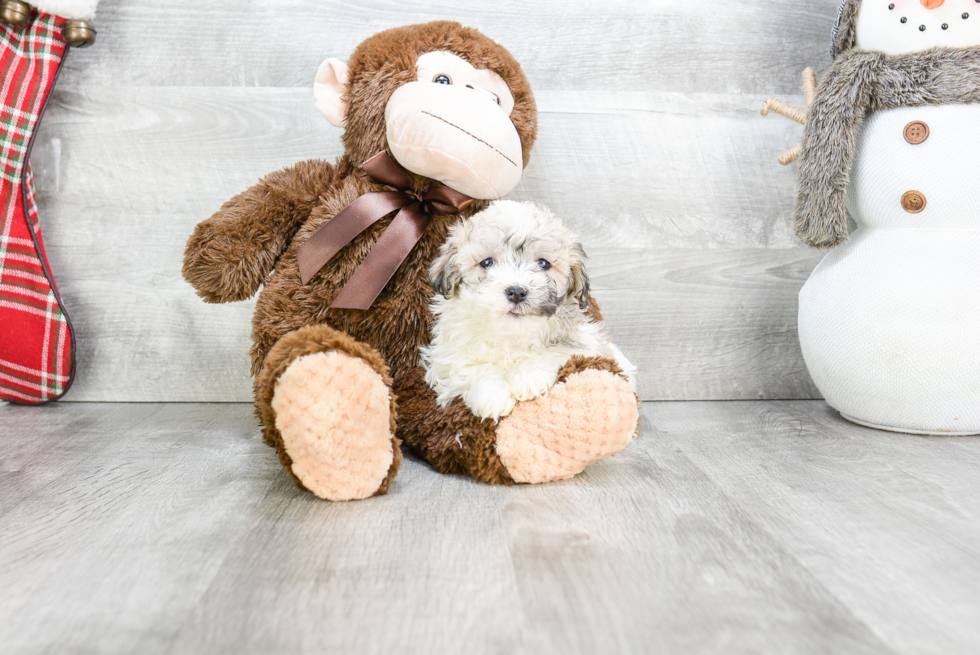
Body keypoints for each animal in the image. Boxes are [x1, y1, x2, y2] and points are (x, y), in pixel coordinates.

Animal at [420, 200, 636, 420]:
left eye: (543, 263)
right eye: (487, 262)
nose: (516, 292)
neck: (511, 335)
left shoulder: (584, 344)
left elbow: (554, 352)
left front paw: (529, 377)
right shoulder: (447, 357)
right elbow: (471, 367)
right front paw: (492, 394)